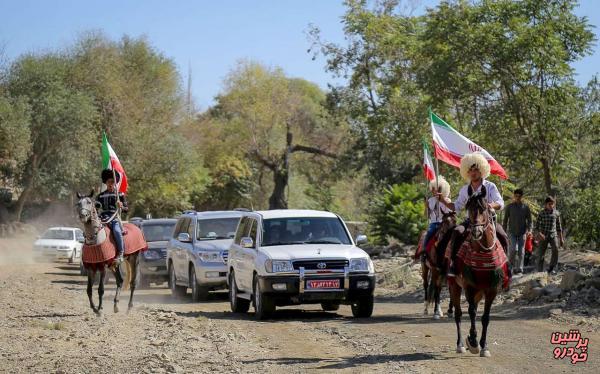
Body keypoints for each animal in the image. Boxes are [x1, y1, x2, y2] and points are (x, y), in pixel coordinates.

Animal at [448, 186, 508, 358]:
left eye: (483, 209)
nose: (476, 232)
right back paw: (461, 344)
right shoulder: (469, 286)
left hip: (479, 292)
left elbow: (485, 317)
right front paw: (474, 342)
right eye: (468, 208)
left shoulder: (491, 289)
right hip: (454, 285)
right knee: (458, 314)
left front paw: (484, 346)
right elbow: (472, 312)